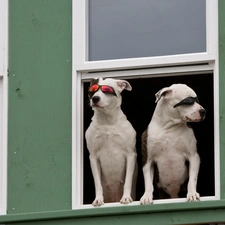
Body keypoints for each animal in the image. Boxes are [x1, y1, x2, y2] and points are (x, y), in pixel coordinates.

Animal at [85, 77, 137, 206]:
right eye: (93, 90)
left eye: (107, 90)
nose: (95, 98)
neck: (107, 121)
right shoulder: (93, 157)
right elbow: (97, 183)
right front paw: (98, 199)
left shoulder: (130, 154)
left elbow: (127, 181)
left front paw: (126, 197)